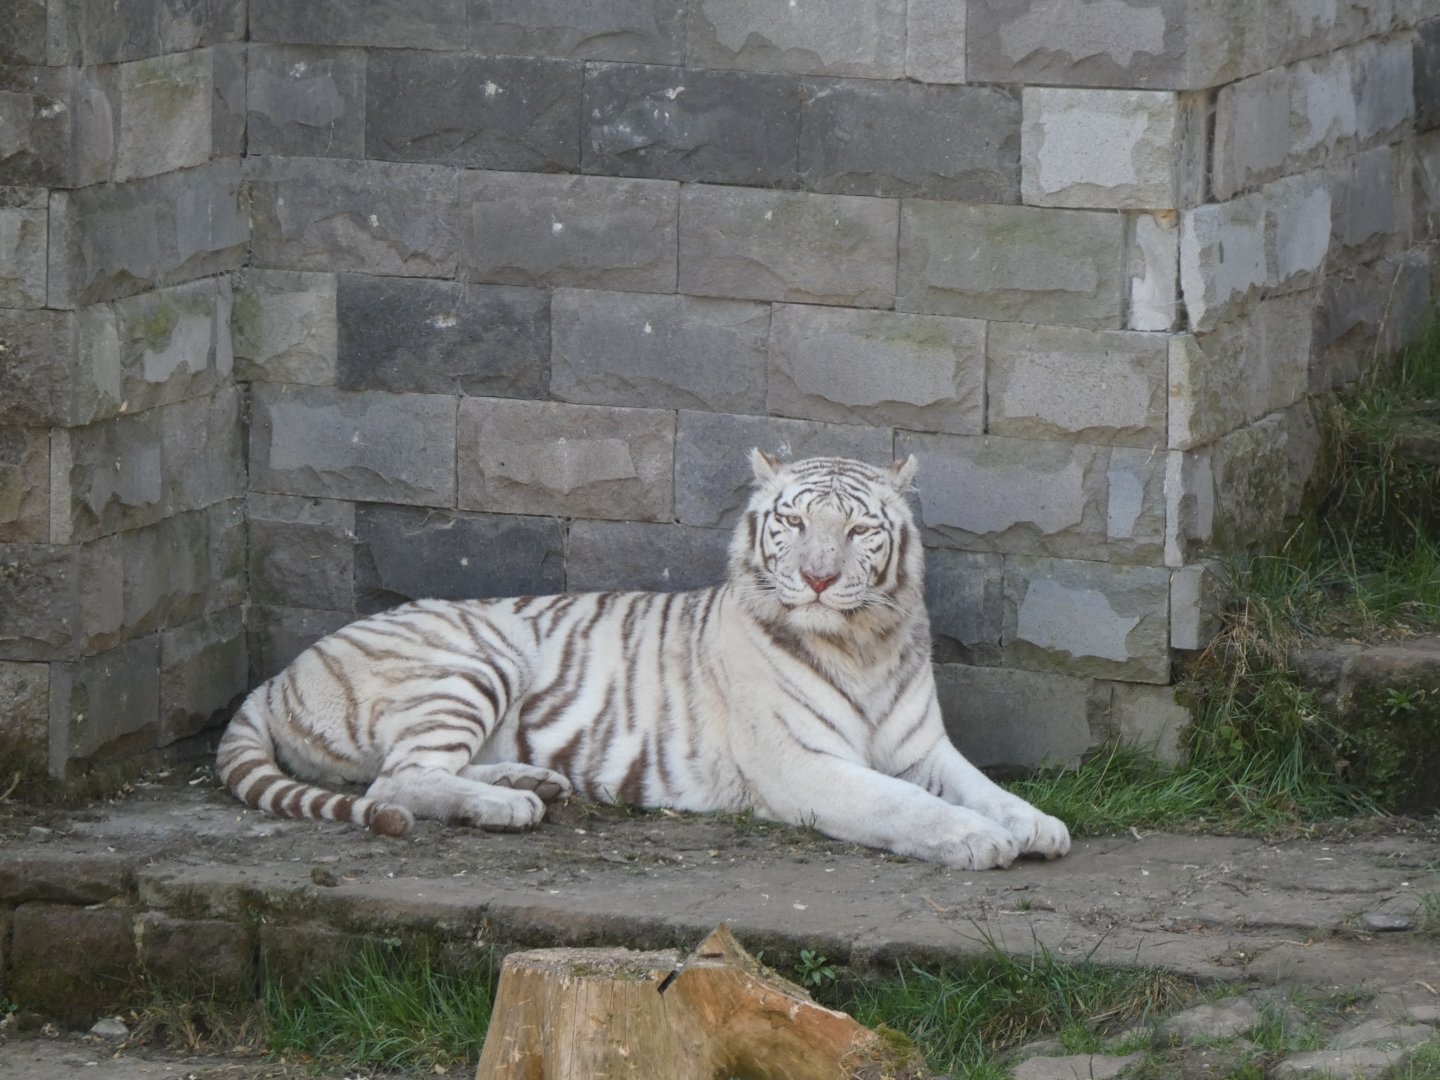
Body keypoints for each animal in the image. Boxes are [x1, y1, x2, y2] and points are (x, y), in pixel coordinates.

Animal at [217, 451, 1070, 869]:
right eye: (794, 522)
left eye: (860, 531)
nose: (821, 579)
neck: (862, 643)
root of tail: (276, 676)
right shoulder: (803, 764)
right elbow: (905, 806)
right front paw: (976, 840)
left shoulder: (922, 746)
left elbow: (985, 787)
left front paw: (1039, 825)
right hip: (471, 659)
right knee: (398, 779)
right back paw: (509, 807)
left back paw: (531, 782)